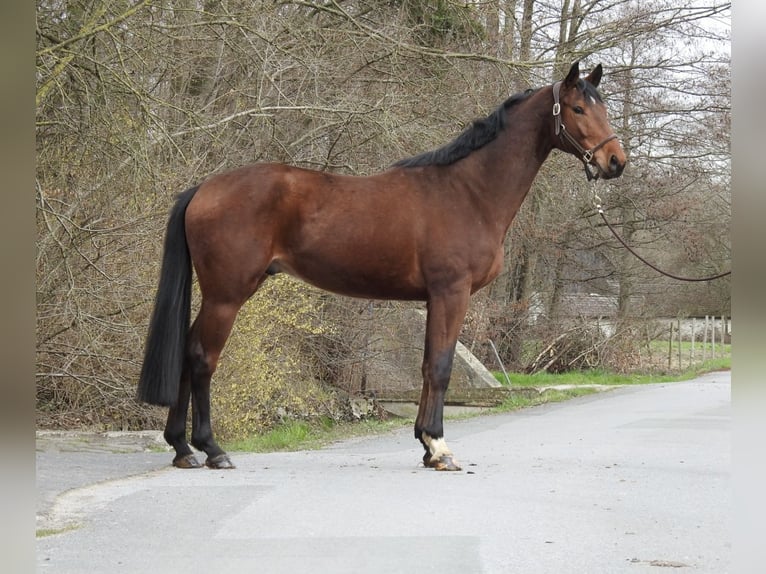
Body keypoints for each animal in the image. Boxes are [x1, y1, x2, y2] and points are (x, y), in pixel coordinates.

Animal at [138, 61, 626, 471]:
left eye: (603, 106)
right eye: (578, 108)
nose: (615, 161)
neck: (468, 191)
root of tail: (204, 189)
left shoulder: (434, 298)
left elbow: (428, 365)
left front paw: (426, 445)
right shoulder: (451, 293)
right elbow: (441, 367)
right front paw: (440, 448)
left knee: (187, 352)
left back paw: (182, 448)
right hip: (227, 294)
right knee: (202, 358)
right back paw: (212, 449)